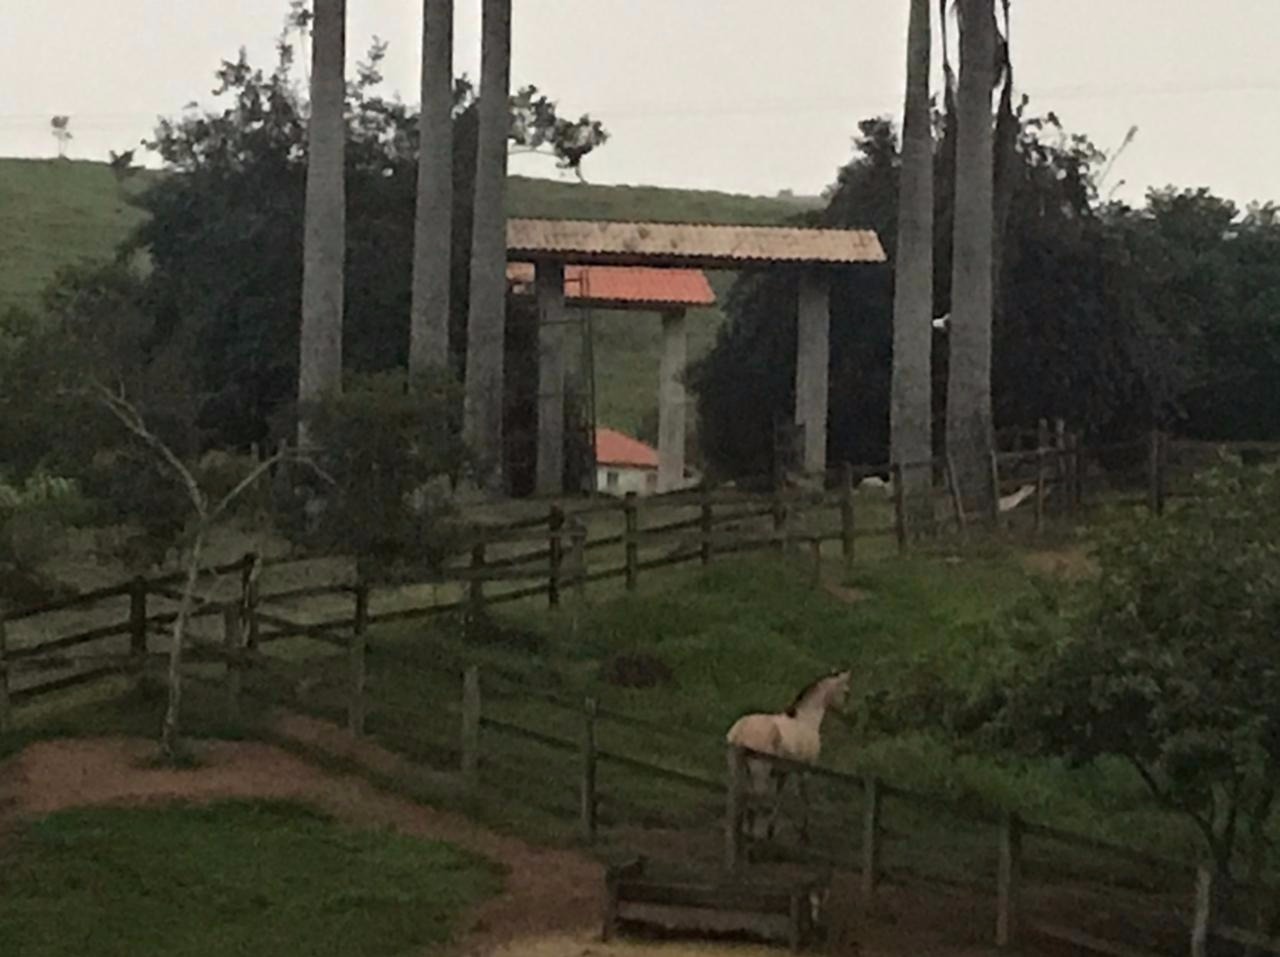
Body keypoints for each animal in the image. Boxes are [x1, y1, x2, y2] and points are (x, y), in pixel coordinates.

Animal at [732, 670, 849, 839]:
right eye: (846, 692)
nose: (846, 713)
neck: (805, 721)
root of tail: (740, 729)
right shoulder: (804, 771)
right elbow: (804, 798)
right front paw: (804, 832)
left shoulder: (783, 772)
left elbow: (779, 797)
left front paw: (771, 829)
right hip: (759, 771)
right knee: (754, 799)